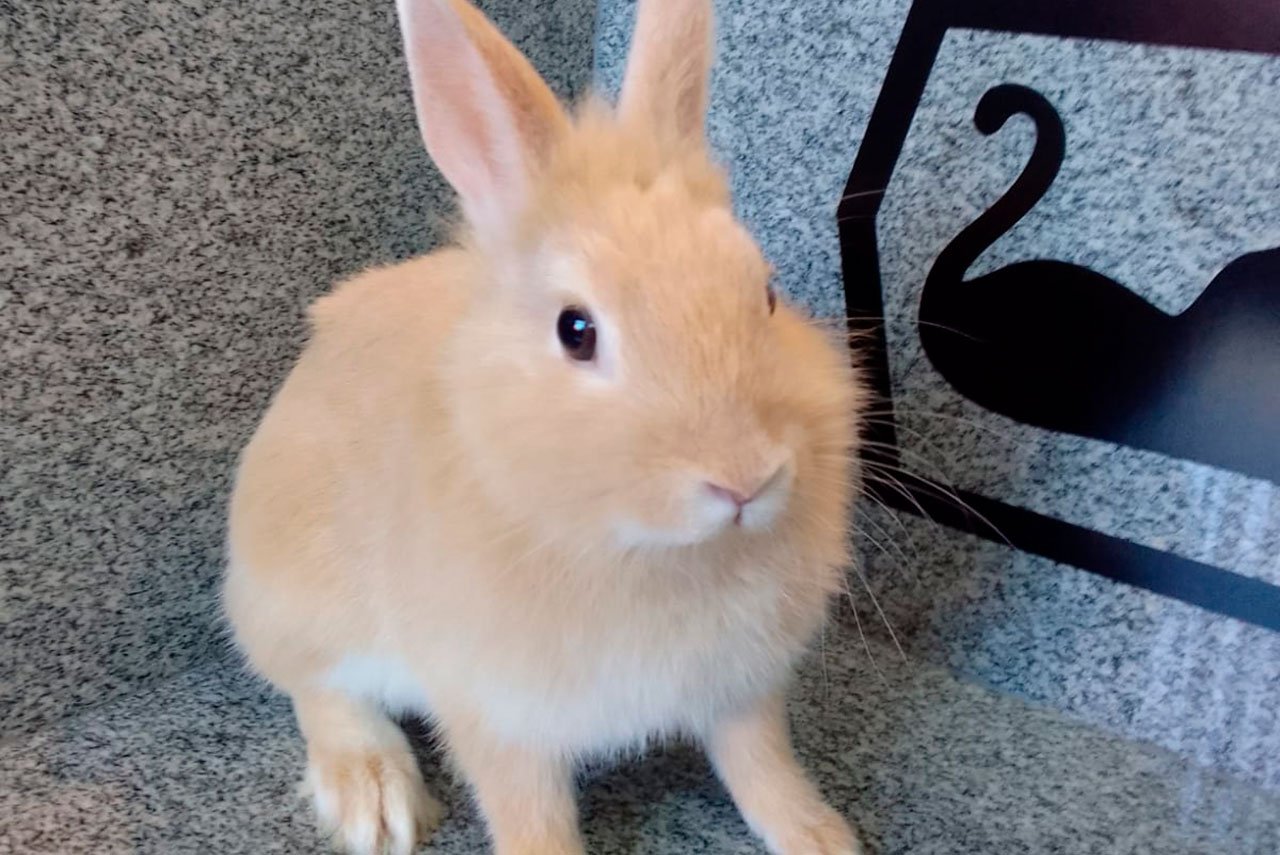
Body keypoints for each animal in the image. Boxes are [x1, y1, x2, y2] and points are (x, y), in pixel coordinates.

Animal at [222, 0, 866, 853]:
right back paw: (373, 795)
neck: (646, 550)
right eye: (576, 330)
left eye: (764, 292)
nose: (745, 479)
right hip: (308, 602)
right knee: (314, 686)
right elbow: (530, 813)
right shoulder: (497, 713)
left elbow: (762, 764)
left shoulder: (741, 689)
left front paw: (820, 836)